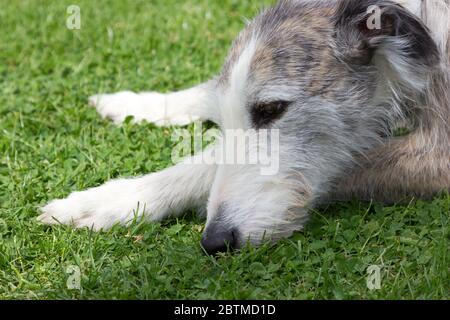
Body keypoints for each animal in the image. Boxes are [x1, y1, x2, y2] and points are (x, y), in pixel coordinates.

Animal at [39, 0, 450, 255]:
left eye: (271, 109)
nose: (216, 241)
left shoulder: (437, 154)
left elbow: (208, 161)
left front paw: (114, 199)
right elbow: (211, 93)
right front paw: (135, 103)